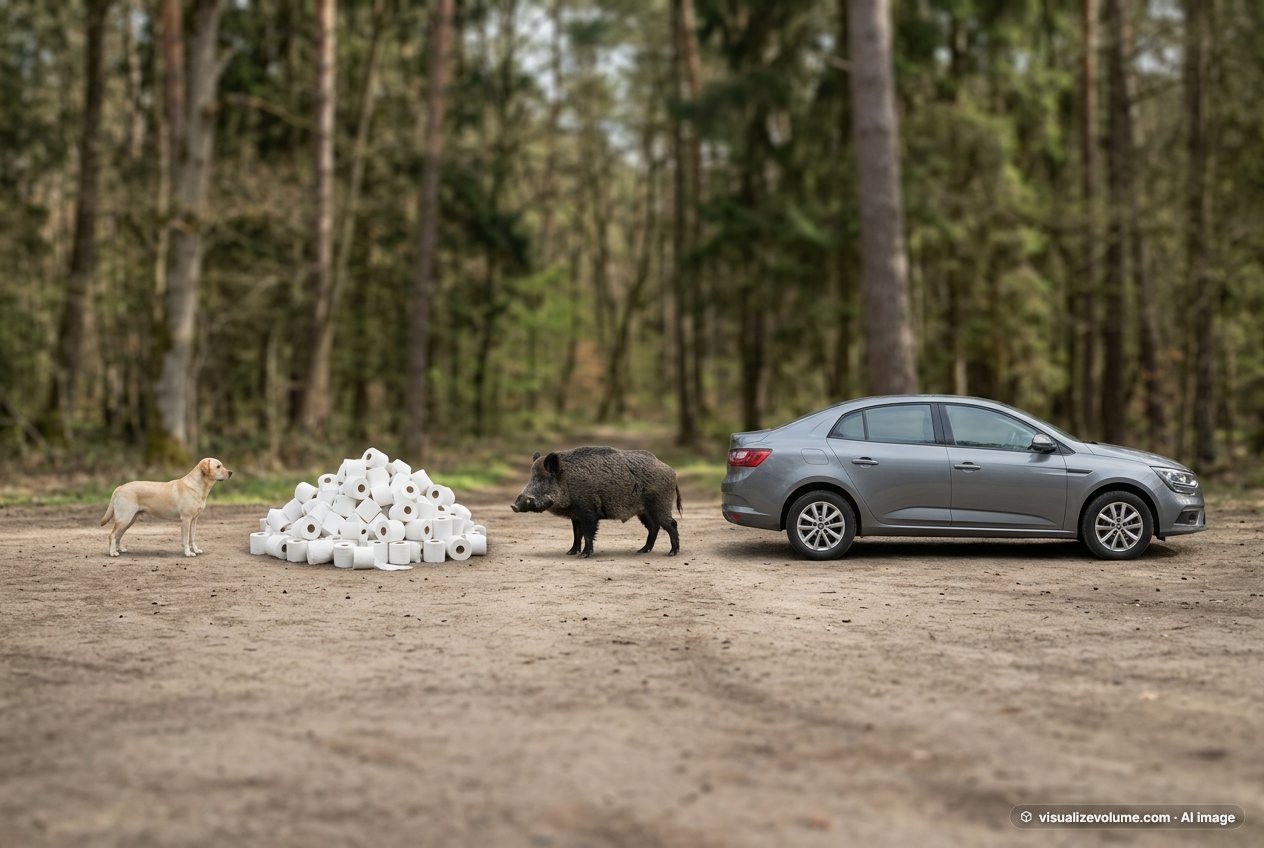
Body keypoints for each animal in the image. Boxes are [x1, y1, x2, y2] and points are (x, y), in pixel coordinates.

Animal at [510, 446, 682, 558]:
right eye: (531, 477)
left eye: (542, 479)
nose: (514, 505)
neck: (567, 482)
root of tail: (672, 471)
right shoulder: (576, 515)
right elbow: (576, 534)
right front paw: (570, 553)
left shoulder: (588, 512)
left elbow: (587, 533)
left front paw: (584, 555)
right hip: (643, 511)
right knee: (654, 527)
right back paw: (641, 551)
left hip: (659, 503)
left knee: (671, 524)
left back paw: (671, 553)